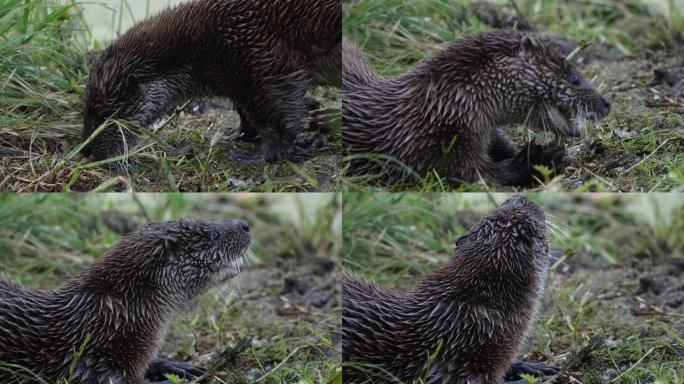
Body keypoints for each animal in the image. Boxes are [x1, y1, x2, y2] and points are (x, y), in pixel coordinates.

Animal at [83, 0, 342, 163]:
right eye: (87, 110)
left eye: (104, 116)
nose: (86, 151)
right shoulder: (240, 78)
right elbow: (246, 112)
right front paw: (238, 135)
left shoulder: (258, 59)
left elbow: (277, 116)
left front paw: (260, 156)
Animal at [344, 29, 612, 186]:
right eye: (574, 79)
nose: (606, 103)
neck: (442, 107)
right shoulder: (435, 149)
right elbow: (478, 176)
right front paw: (540, 160)